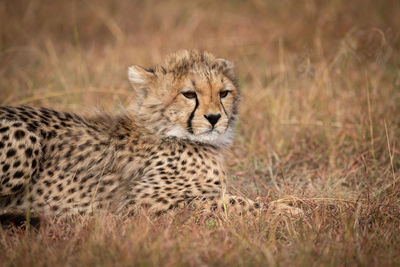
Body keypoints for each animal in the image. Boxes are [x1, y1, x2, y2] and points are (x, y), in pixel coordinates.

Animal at [0, 50, 276, 220]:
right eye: (189, 94)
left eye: (223, 93)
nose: (214, 118)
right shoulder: (139, 205)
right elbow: (235, 202)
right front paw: (286, 209)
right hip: (24, 136)